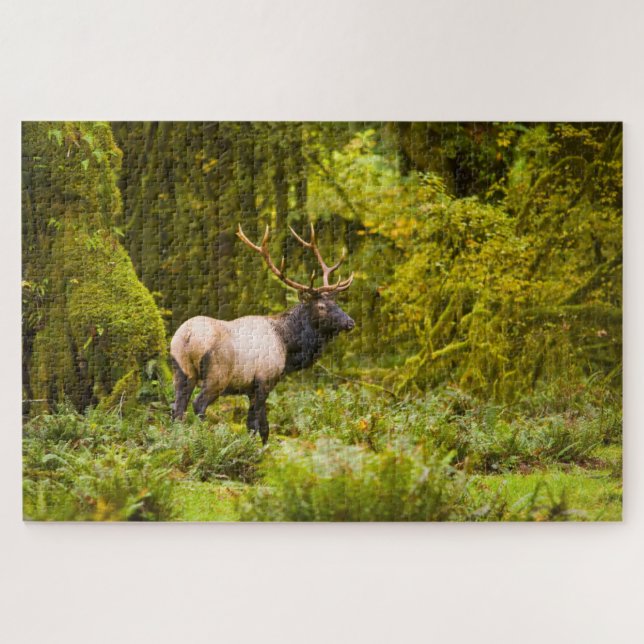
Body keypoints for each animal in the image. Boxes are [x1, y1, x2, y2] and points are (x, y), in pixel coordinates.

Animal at [169, 223, 355, 444]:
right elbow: (259, 425)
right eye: (321, 306)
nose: (350, 322)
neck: (288, 347)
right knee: (198, 405)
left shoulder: (251, 388)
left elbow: (255, 426)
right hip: (217, 374)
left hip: (182, 370)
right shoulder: (265, 380)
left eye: (336, 302)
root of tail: (186, 337)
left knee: (177, 410)